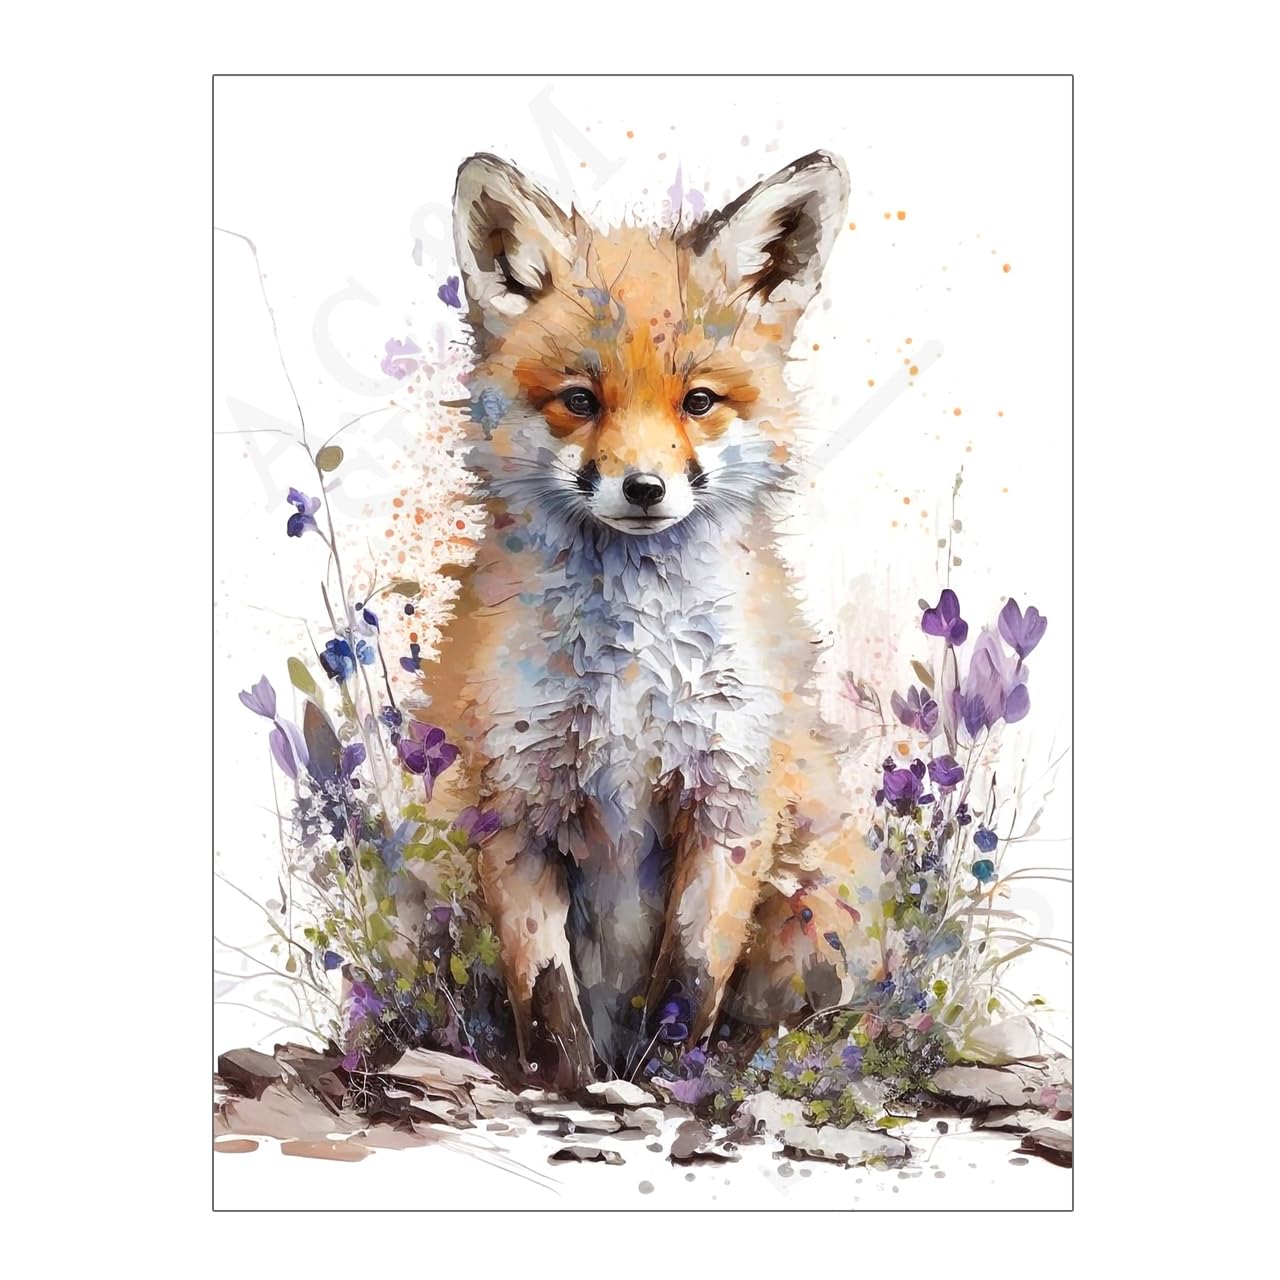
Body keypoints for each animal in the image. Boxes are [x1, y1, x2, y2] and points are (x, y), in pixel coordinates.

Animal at [419, 150, 881, 1089]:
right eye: (579, 400)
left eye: (698, 402)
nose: (642, 489)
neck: (630, 676)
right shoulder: (511, 801)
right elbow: (546, 994)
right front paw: (569, 1085)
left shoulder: (730, 795)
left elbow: (689, 978)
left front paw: (667, 1082)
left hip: (817, 903)